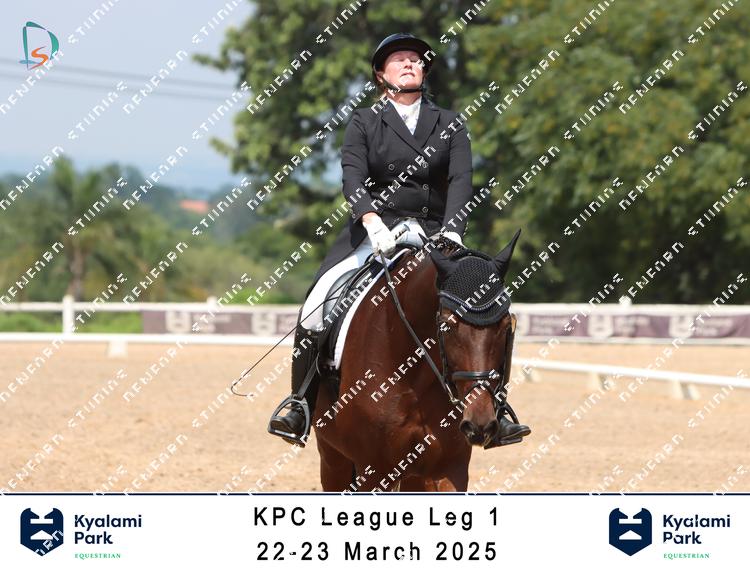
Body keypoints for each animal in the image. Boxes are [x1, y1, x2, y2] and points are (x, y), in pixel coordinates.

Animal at [311, 230, 523, 492]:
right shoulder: (373, 472)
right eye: (446, 325)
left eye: (505, 326)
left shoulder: (449, 469)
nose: (479, 425)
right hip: (333, 458)